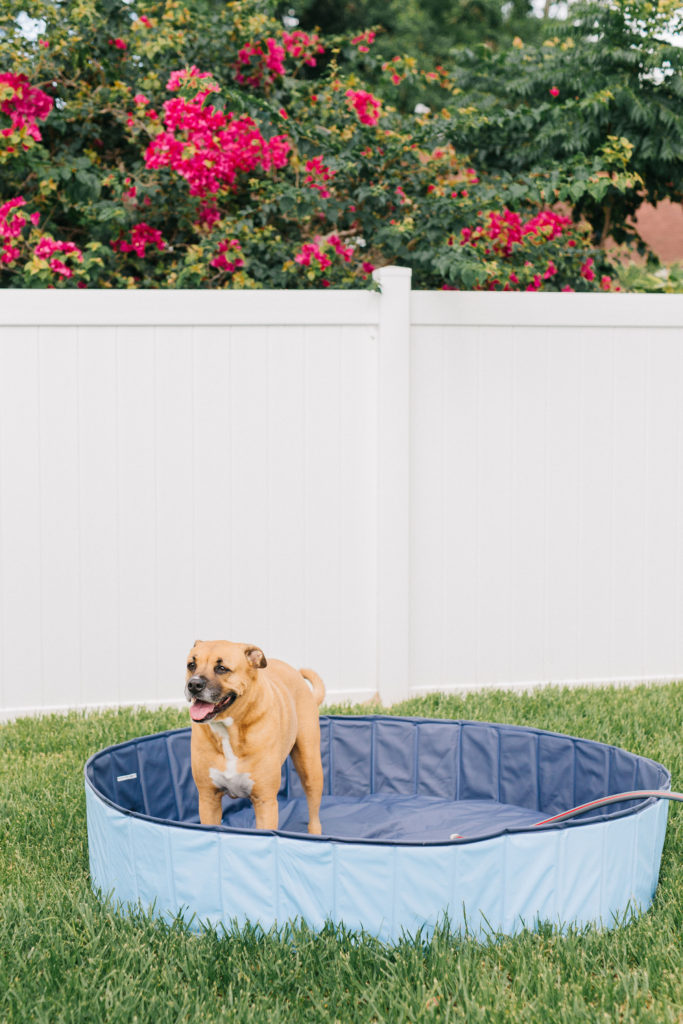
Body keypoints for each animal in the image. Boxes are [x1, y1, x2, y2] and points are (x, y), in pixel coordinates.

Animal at [187, 638, 325, 831]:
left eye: (221, 668)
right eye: (191, 665)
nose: (193, 684)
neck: (229, 731)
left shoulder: (265, 802)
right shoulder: (208, 799)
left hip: (311, 767)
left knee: (314, 814)